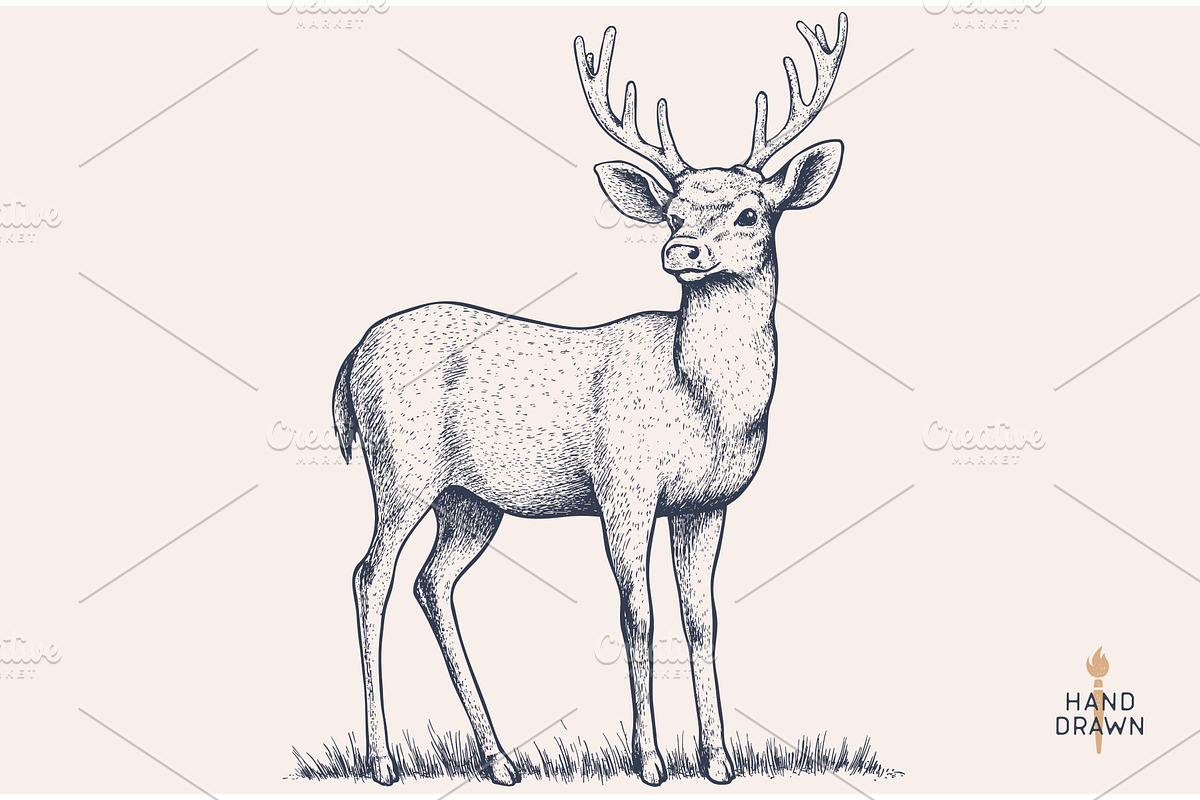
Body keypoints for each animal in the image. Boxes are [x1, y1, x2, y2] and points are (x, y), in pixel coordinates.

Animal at [332, 12, 848, 787]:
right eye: (672, 213)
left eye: (751, 212)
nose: (683, 252)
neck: (701, 406)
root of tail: (349, 360)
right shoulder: (623, 486)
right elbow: (640, 616)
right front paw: (651, 760)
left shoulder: (706, 504)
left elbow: (703, 620)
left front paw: (718, 759)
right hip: (401, 469)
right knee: (371, 576)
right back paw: (383, 759)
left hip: (468, 501)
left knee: (432, 583)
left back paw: (500, 759)